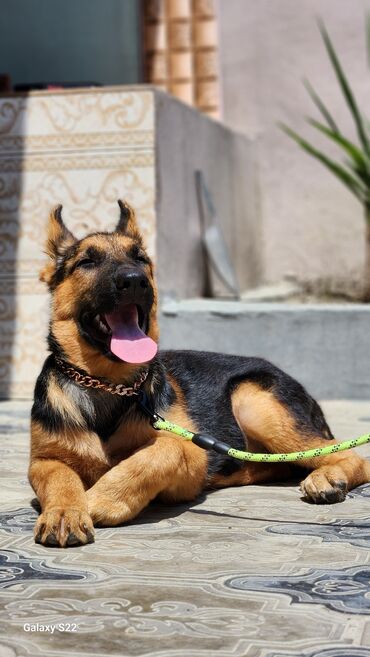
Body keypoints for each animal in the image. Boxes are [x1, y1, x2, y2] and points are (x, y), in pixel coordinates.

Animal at [28, 202, 370, 544]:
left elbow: (160, 452)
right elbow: (59, 479)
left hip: (256, 405)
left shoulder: (192, 453)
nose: (135, 280)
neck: (109, 384)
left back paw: (328, 477)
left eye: (140, 259)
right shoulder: (44, 460)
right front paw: (65, 512)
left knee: (352, 457)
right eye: (87, 261)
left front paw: (101, 499)